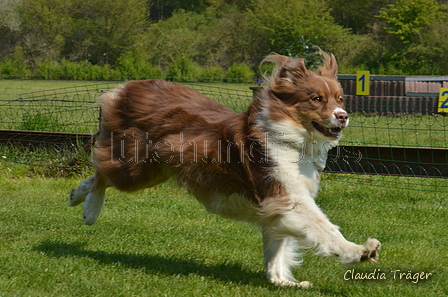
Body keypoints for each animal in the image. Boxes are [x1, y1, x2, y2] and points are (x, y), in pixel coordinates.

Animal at [70, 52, 378, 286]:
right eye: (316, 99)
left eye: (340, 99)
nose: (343, 116)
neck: (290, 138)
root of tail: (130, 87)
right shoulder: (287, 196)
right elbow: (325, 228)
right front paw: (359, 251)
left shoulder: (277, 206)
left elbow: (277, 246)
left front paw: (281, 281)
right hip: (134, 169)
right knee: (101, 174)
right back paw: (89, 209)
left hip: (154, 169)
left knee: (97, 171)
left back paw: (77, 195)